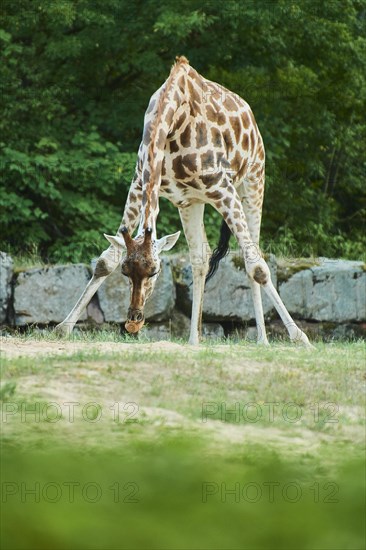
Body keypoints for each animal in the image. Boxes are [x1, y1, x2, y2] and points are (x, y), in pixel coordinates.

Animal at [55, 56, 314, 350]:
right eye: (126, 272)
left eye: (155, 271)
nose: (133, 322)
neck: (172, 120)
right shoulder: (140, 183)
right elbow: (104, 261)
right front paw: (63, 328)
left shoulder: (223, 188)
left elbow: (257, 266)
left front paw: (301, 338)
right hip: (192, 202)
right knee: (201, 258)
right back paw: (194, 339)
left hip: (253, 180)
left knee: (254, 254)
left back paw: (262, 339)